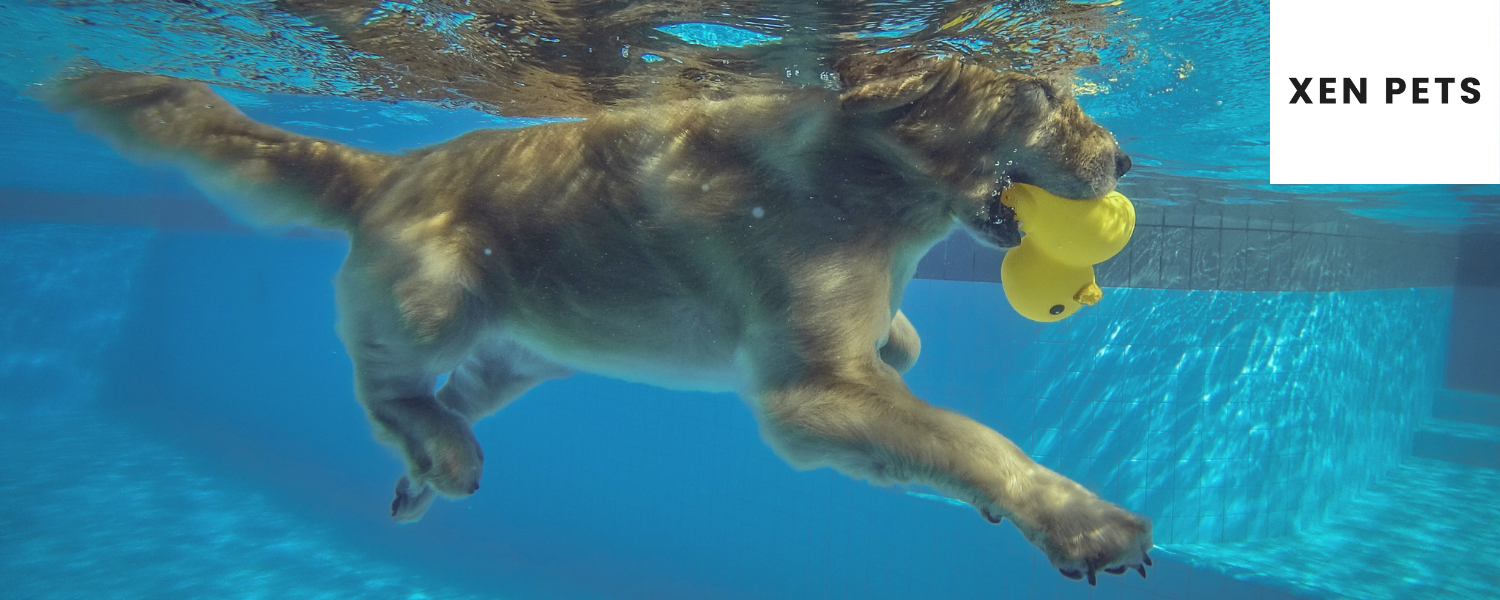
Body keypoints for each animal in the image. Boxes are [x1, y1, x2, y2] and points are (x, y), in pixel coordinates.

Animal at [46, 54, 1146, 585]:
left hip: (529, 351)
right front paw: (1083, 521)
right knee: (382, 380)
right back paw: (439, 453)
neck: (878, 181)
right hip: (441, 292)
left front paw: (907, 341)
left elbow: (908, 353)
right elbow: (966, 438)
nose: (1130, 159)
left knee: (451, 395)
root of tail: (389, 167)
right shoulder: (813, 394)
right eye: (1045, 93)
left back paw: (423, 470)